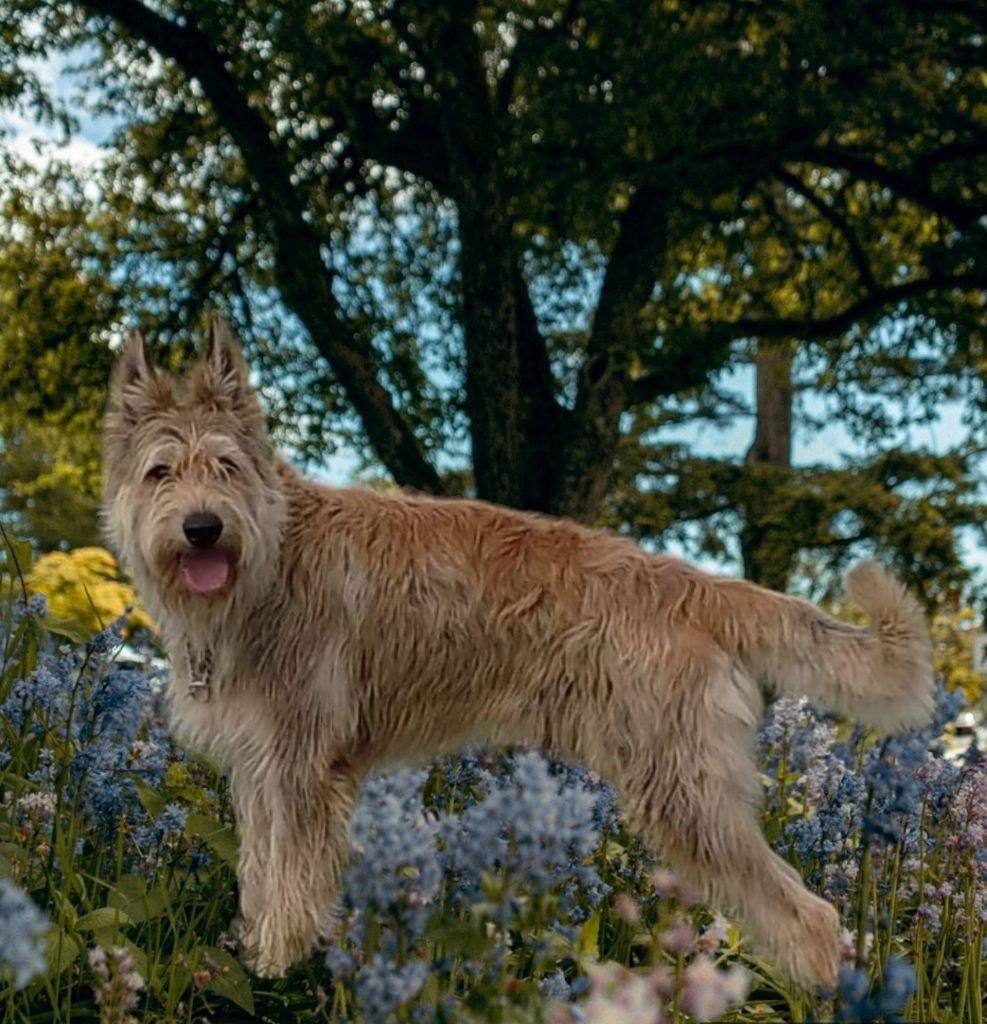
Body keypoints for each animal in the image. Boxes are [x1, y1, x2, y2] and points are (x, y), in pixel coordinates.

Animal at [100, 319, 933, 991]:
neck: (270, 557)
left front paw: (276, 971)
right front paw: (254, 956)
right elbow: (259, 873)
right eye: (160, 472)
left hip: (684, 791)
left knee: (806, 915)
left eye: (226, 467)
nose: (203, 528)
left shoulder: (302, 767)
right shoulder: (265, 770)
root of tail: (695, 586)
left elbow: (291, 884)